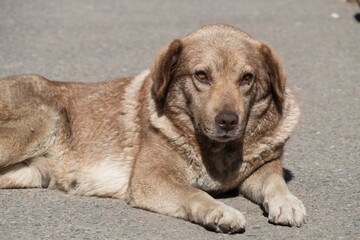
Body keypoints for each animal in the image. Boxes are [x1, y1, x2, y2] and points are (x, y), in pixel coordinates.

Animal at [0, 24, 306, 234]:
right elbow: (196, 193)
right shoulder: (152, 179)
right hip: (43, 121)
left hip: (32, 172)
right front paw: (220, 212)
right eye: (201, 75)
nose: (228, 120)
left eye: (247, 78)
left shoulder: (261, 169)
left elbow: (275, 182)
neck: (217, 150)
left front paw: (287, 202)